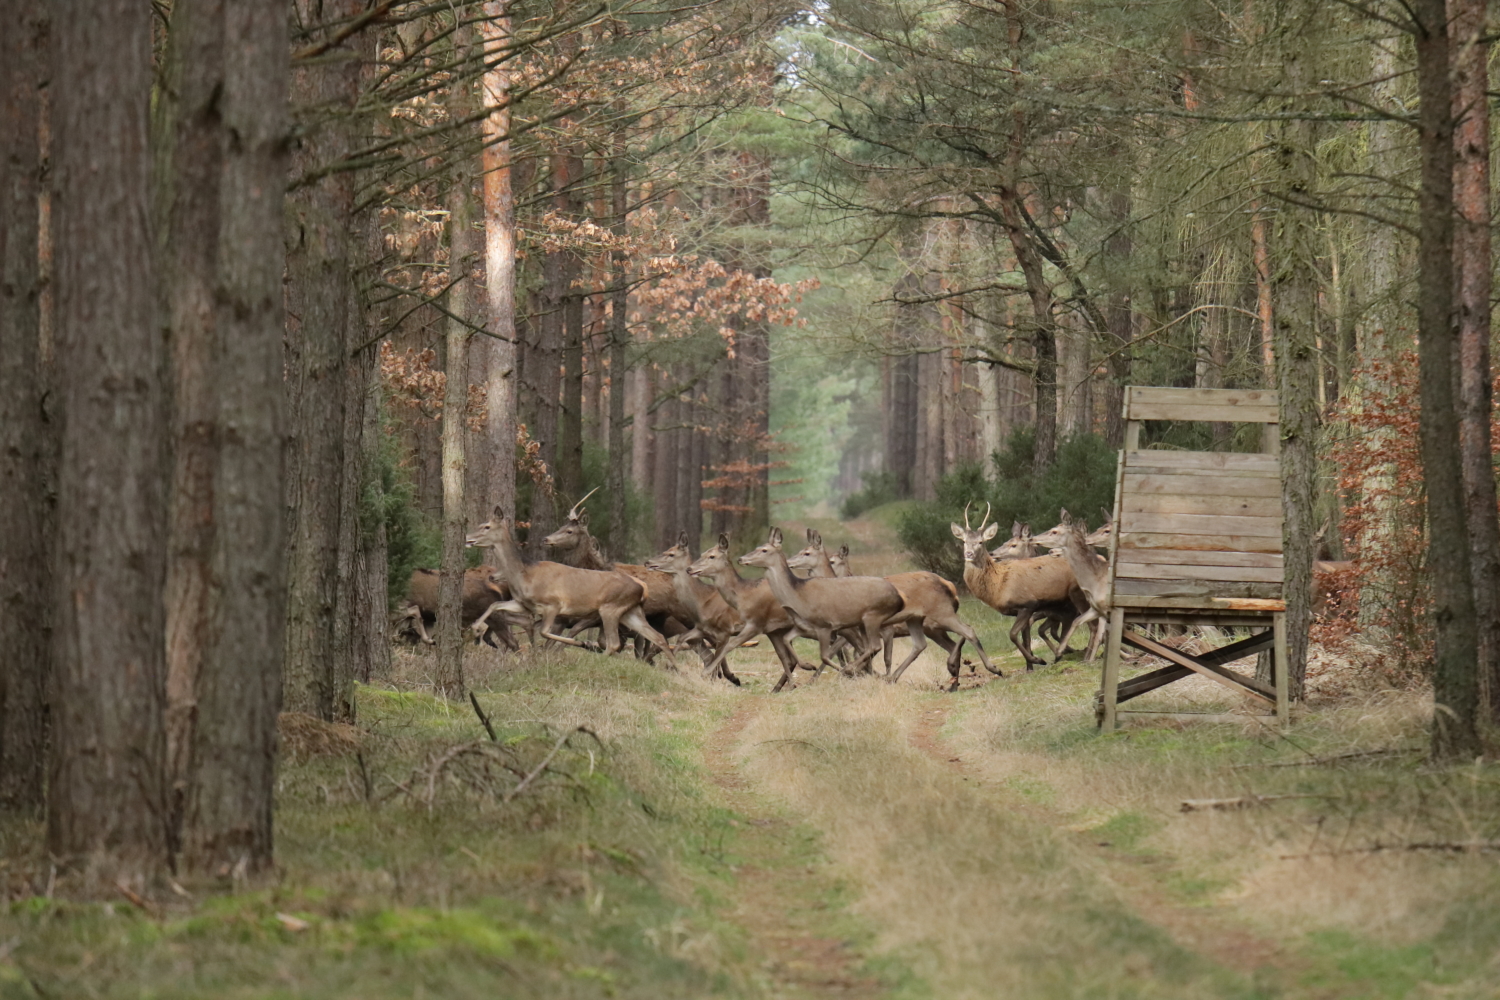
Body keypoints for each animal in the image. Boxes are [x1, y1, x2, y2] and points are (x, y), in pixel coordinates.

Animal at [465, 509, 678, 665]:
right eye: (480, 524)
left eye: (486, 526)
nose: (467, 537)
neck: (525, 574)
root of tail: (642, 586)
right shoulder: (524, 604)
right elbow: (495, 605)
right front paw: (475, 628)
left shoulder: (553, 605)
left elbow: (545, 631)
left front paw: (575, 643)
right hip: (630, 611)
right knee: (657, 636)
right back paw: (676, 669)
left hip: (610, 608)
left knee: (614, 643)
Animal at [738, 527, 924, 683]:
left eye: (764, 550)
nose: (741, 558)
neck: (798, 596)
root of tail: (900, 597)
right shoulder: (803, 626)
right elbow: (786, 640)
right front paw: (808, 666)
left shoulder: (825, 625)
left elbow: (825, 656)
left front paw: (844, 671)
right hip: (865, 623)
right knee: (870, 648)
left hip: (873, 616)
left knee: (875, 646)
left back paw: (859, 670)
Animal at [792, 530, 1002, 689]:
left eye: (806, 552)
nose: (791, 562)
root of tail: (949, 586)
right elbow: (857, 652)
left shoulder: (881, 628)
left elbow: (880, 656)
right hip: (928, 624)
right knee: (943, 643)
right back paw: (954, 678)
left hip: (938, 618)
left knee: (966, 631)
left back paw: (988, 668)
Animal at [954, 500, 1086, 671]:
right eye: (964, 541)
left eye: (981, 542)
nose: (968, 554)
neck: (998, 586)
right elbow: (1026, 638)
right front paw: (1030, 667)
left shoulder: (1027, 604)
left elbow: (1013, 635)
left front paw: (1037, 660)